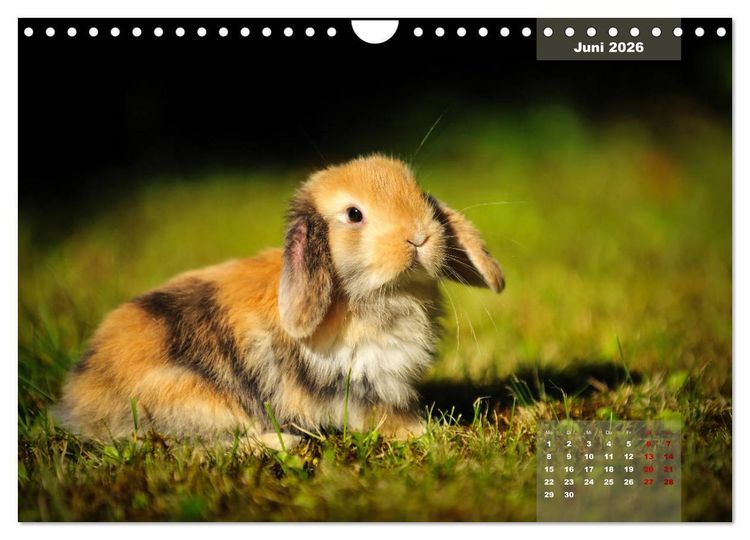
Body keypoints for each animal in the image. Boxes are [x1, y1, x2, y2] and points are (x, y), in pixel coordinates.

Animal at [54, 154, 504, 447]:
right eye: (354, 215)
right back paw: (285, 443)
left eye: (420, 195)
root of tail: (79, 402)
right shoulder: (360, 384)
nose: (419, 237)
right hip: (192, 403)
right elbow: (381, 415)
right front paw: (425, 431)